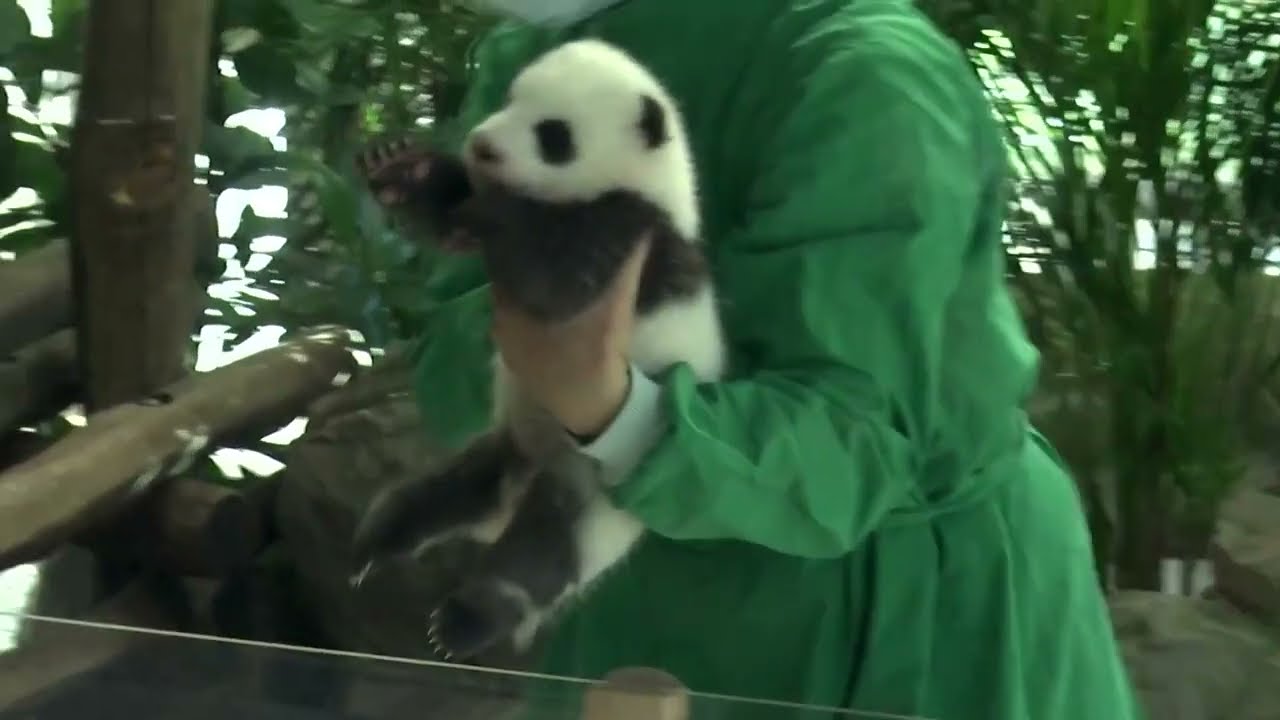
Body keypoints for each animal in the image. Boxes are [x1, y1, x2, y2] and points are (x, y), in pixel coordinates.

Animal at [349, 39, 727, 662]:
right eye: (510, 97)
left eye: (553, 134)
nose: (481, 144)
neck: (649, 180)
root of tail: (519, 489)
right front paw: (405, 169)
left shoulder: (630, 234)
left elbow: (553, 285)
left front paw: (486, 207)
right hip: (503, 444)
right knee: (443, 492)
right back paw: (378, 543)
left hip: (593, 496)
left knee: (539, 557)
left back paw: (467, 620)